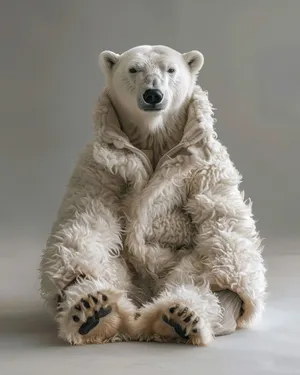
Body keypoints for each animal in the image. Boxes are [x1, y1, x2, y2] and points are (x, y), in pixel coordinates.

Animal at [38, 45, 266, 348]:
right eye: (134, 69)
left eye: (171, 69)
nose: (153, 94)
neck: (155, 139)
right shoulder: (99, 165)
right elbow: (88, 213)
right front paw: (85, 297)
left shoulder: (207, 164)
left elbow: (220, 214)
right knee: (98, 258)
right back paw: (92, 309)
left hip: (181, 261)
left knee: (206, 265)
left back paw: (182, 315)